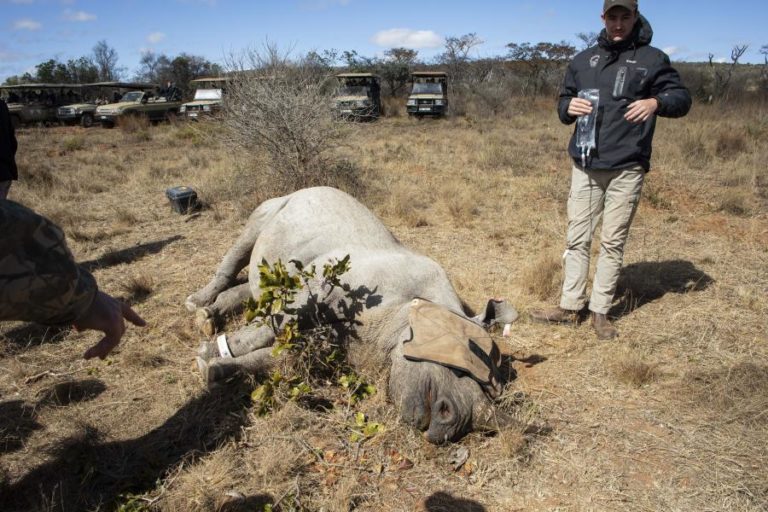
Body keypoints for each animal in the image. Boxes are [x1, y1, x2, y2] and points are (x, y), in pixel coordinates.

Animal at [187, 186, 520, 442]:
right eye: (459, 369)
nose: (449, 427)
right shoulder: (320, 286)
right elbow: (275, 327)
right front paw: (207, 353)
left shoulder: (340, 344)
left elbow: (283, 358)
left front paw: (213, 371)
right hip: (279, 205)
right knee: (247, 241)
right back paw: (194, 305)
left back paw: (206, 319)